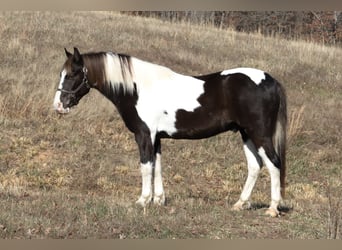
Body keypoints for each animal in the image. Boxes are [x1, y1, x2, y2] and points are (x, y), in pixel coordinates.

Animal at [53, 47, 288, 217]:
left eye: (73, 73)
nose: (59, 105)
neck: (138, 89)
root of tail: (271, 81)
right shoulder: (156, 137)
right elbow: (157, 167)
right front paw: (158, 200)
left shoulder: (144, 135)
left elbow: (145, 166)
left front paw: (143, 200)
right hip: (246, 133)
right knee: (255, 166)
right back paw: (240, 203)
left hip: (259, 133)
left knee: (274, 163)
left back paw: (272, 209)